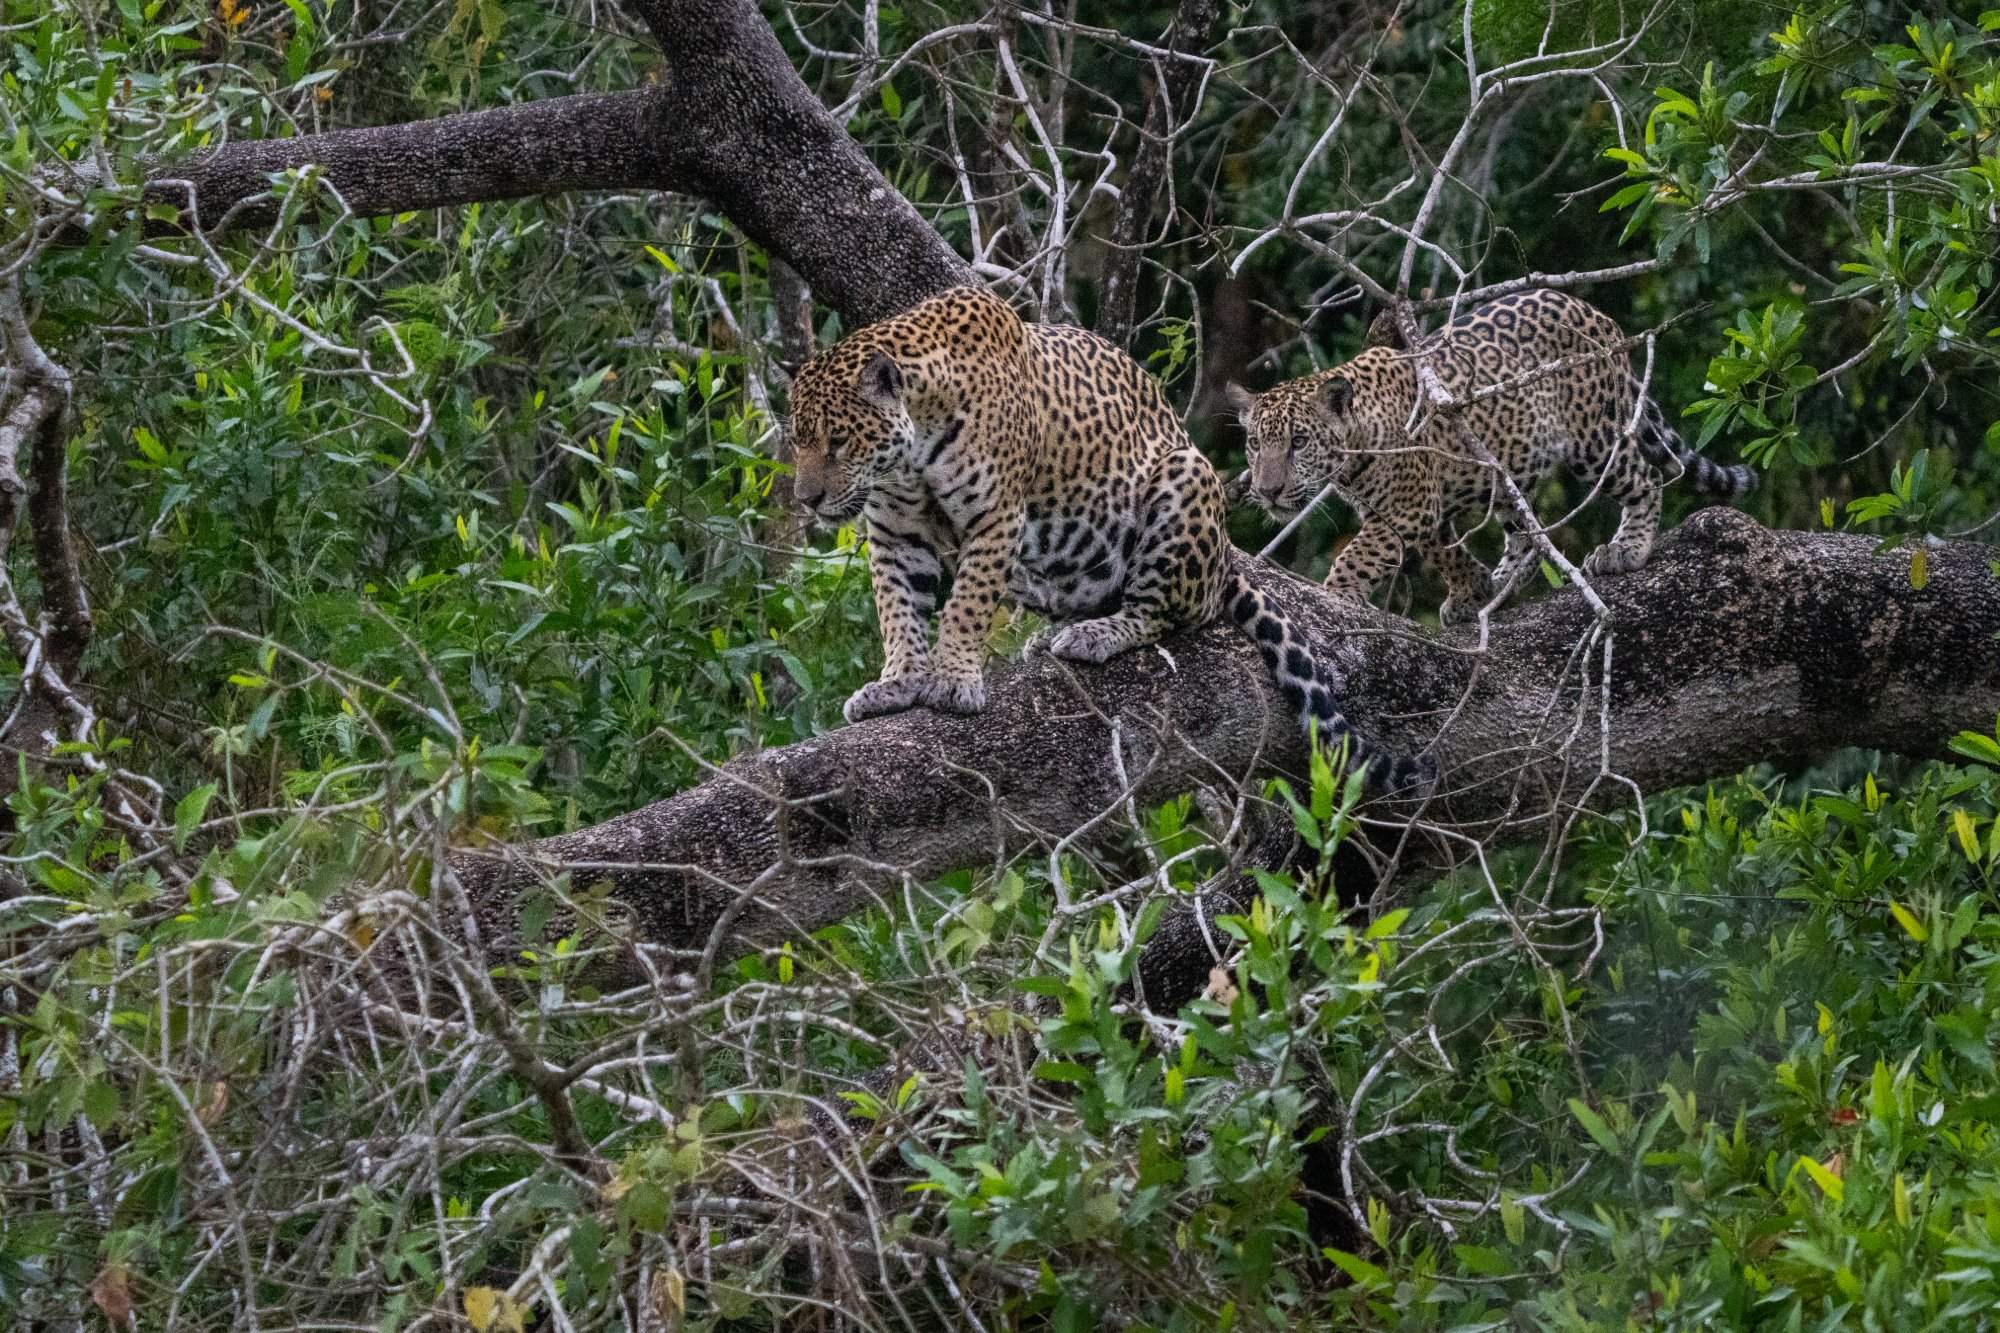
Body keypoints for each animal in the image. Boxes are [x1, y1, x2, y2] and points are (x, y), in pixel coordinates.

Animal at [787, 285, 1429, 789]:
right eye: (799, 441)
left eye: (838, 442)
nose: (807, 500)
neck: (912, 451)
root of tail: (1225, 560)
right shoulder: (893, 531)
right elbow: (897, 610)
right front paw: (895, 684)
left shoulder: (996, 518)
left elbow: (966, 603)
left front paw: (952, 680)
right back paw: (1054, 635)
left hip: (1182, 481)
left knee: (1163, 613)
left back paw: (1094, 635)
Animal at [1227, 289, 1757, 626]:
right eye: (1255, 444)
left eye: (1298, 442)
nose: (1267, 491)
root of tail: (1597, 315)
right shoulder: (1423, 506)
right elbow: (1445, 550)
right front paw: (1473, 588)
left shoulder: (1406, 506)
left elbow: (1363, 554)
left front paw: (1338, 593)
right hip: (1509, 468)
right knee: (1527, 533)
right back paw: (1500, 586)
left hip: (1594, 436)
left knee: (1643, 477)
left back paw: (1626, 549)